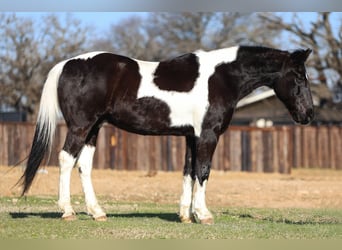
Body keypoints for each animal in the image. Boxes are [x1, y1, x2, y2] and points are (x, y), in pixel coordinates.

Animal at [19, 45, 312, 225]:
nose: (308, 114)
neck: (221, 77)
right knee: (66, 159)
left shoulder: (191, 137)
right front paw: (203, 214)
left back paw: (97, 212)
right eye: (299, 76)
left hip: (94, 129)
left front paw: (186, 215)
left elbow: (188, 171)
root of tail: (66, 64)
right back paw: (68, 211)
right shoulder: (207, 135)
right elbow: (203, 171)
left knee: (84, 165)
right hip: (81, 126)